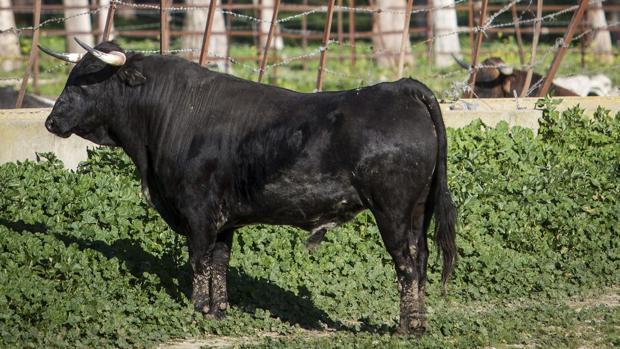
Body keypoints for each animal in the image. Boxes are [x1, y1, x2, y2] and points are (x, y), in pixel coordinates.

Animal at [42, 40, 456, 334]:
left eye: (84, 81)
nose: (50, 121)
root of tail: (401, 88)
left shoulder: (198, 213)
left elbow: (199, 261)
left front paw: (197, 311)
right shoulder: (223, 221)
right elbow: (220, 263)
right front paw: (217, 311)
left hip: (392, 210)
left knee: (406, 264)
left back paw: (405, 328)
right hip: (418, 211)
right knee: (421, 260)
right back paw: (419, 324)